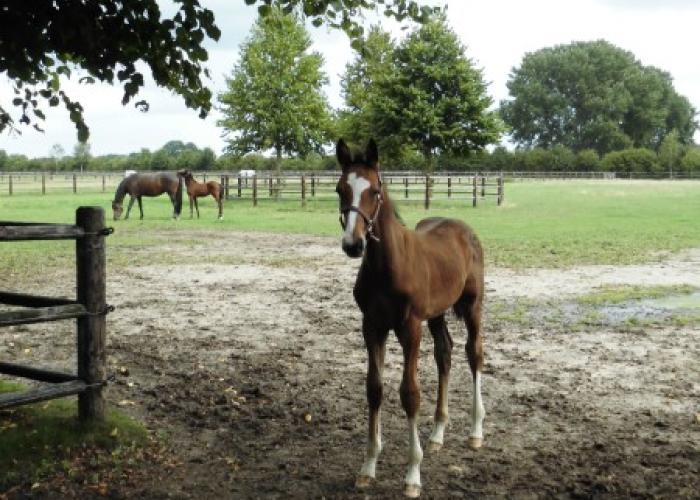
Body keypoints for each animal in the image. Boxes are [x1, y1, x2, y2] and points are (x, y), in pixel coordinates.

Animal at [334, 139, 485, 498]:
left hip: (472, 306)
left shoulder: (409, 327)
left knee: (474, 354)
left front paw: (413, 474)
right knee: (445, 354)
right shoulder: (372, 326)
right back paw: (437, 435)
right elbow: (374, 388)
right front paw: (368, 466)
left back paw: (476, 432)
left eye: (375, 191)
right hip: (437, 314)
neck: (386, 267)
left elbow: (410, 394)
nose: (353, 244)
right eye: (339, 190)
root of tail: (463, 228)